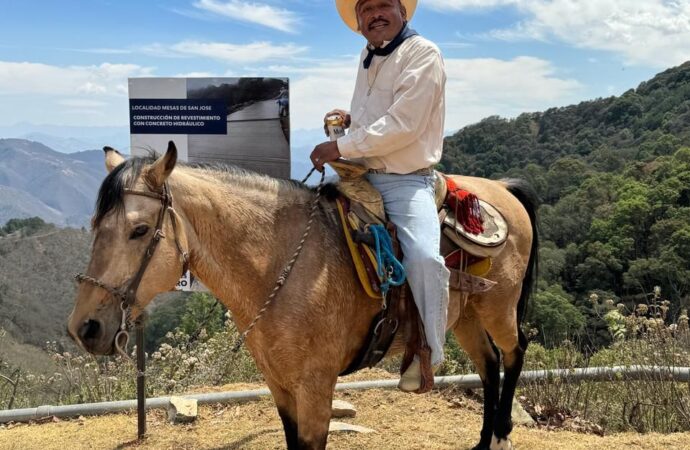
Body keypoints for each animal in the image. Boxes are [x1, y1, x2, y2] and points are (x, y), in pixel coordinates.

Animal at [66, 143, 536, 450]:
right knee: (489, 364)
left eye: (139, 230)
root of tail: (502, 188)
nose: (84, 328)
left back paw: (502, 435)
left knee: (514, 354)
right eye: (95, 225)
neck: (282, 266)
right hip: (466, 316)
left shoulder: (315, 389)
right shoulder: (280, 386)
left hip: (498, 309)